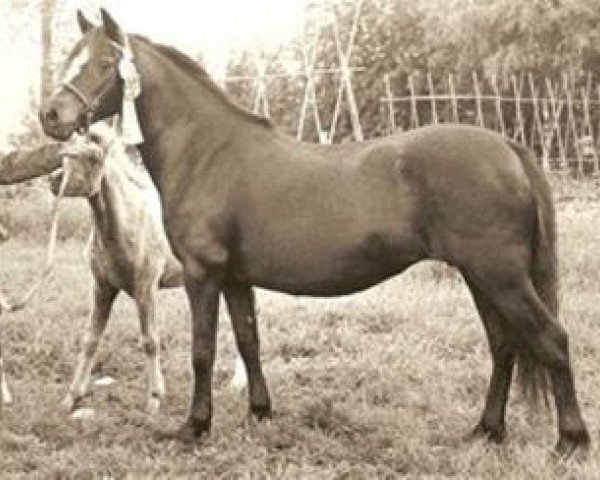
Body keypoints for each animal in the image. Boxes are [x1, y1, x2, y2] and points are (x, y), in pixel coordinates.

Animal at [41, 10, 592, 454]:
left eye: (100, 61)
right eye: (71, 57)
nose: (50, 115)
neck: (208, 153)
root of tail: (507, 146)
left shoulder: (204, 274)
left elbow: (203, 351)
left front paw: (194, 427)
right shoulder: (236, 278)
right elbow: (248, 342)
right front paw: (260, 413)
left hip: (499, 275)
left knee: (551, 338)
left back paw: (570, 442)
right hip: (482, 277)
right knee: (504, 345)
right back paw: (486, 431)